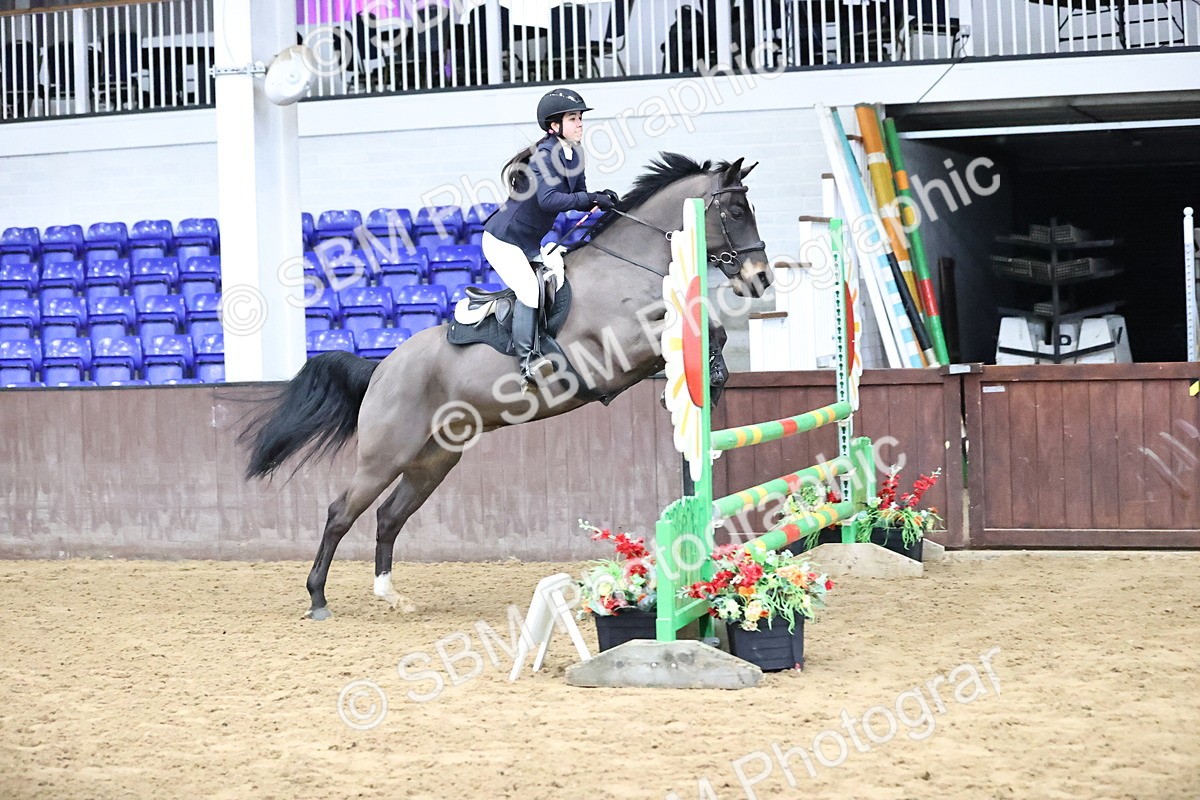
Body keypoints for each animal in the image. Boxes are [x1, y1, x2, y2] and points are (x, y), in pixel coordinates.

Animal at [238, 152, 773, 620]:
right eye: (736, 211)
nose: (761, 279)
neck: (625, 264)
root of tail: (382, 369)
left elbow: (708, 326)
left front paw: (712, 377)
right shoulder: (616, 348)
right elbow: (699, 325)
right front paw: (708, 377)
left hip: (433, 459)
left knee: (389, 516)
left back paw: (391, 595)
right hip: (385, 455)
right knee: (339, 513)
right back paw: (317, 599)